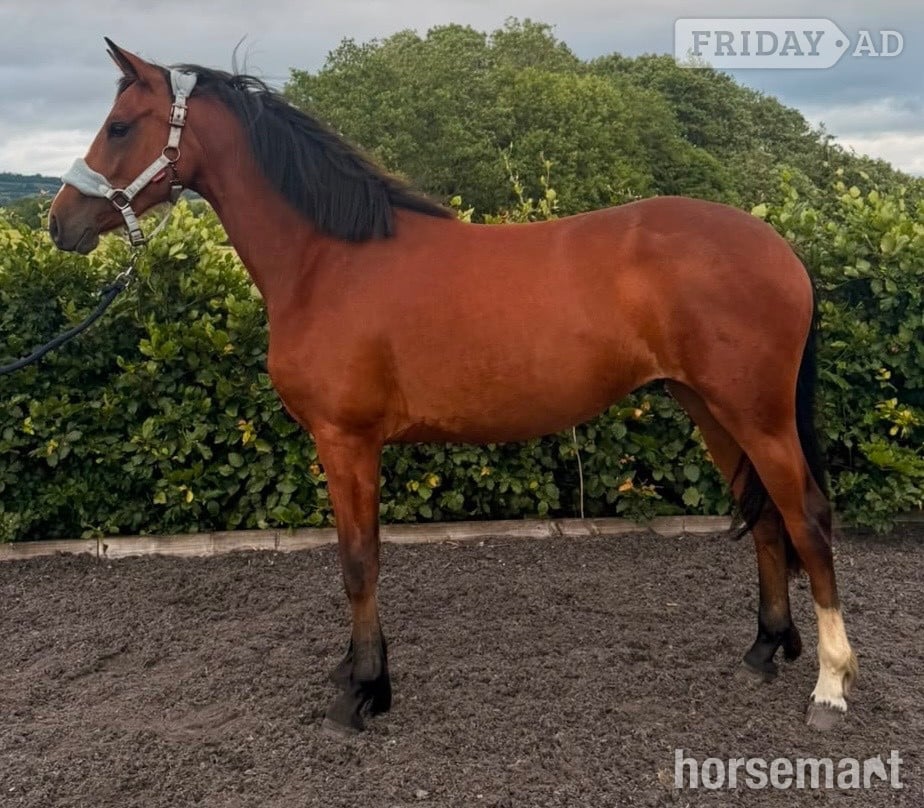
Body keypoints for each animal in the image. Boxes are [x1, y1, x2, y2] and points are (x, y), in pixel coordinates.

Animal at [48, 40, 857, 735]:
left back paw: (831, 685)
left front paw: (364, 692)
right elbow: (360, 554)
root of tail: (780, 247)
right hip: (711, 408)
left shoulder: (346, 441)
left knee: (808, 518)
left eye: (120, 125)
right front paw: (355, 673)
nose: (61, 223)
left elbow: (358, 561)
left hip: (756, 415)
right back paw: (764, 650)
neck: (329, 261)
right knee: (766, 519)